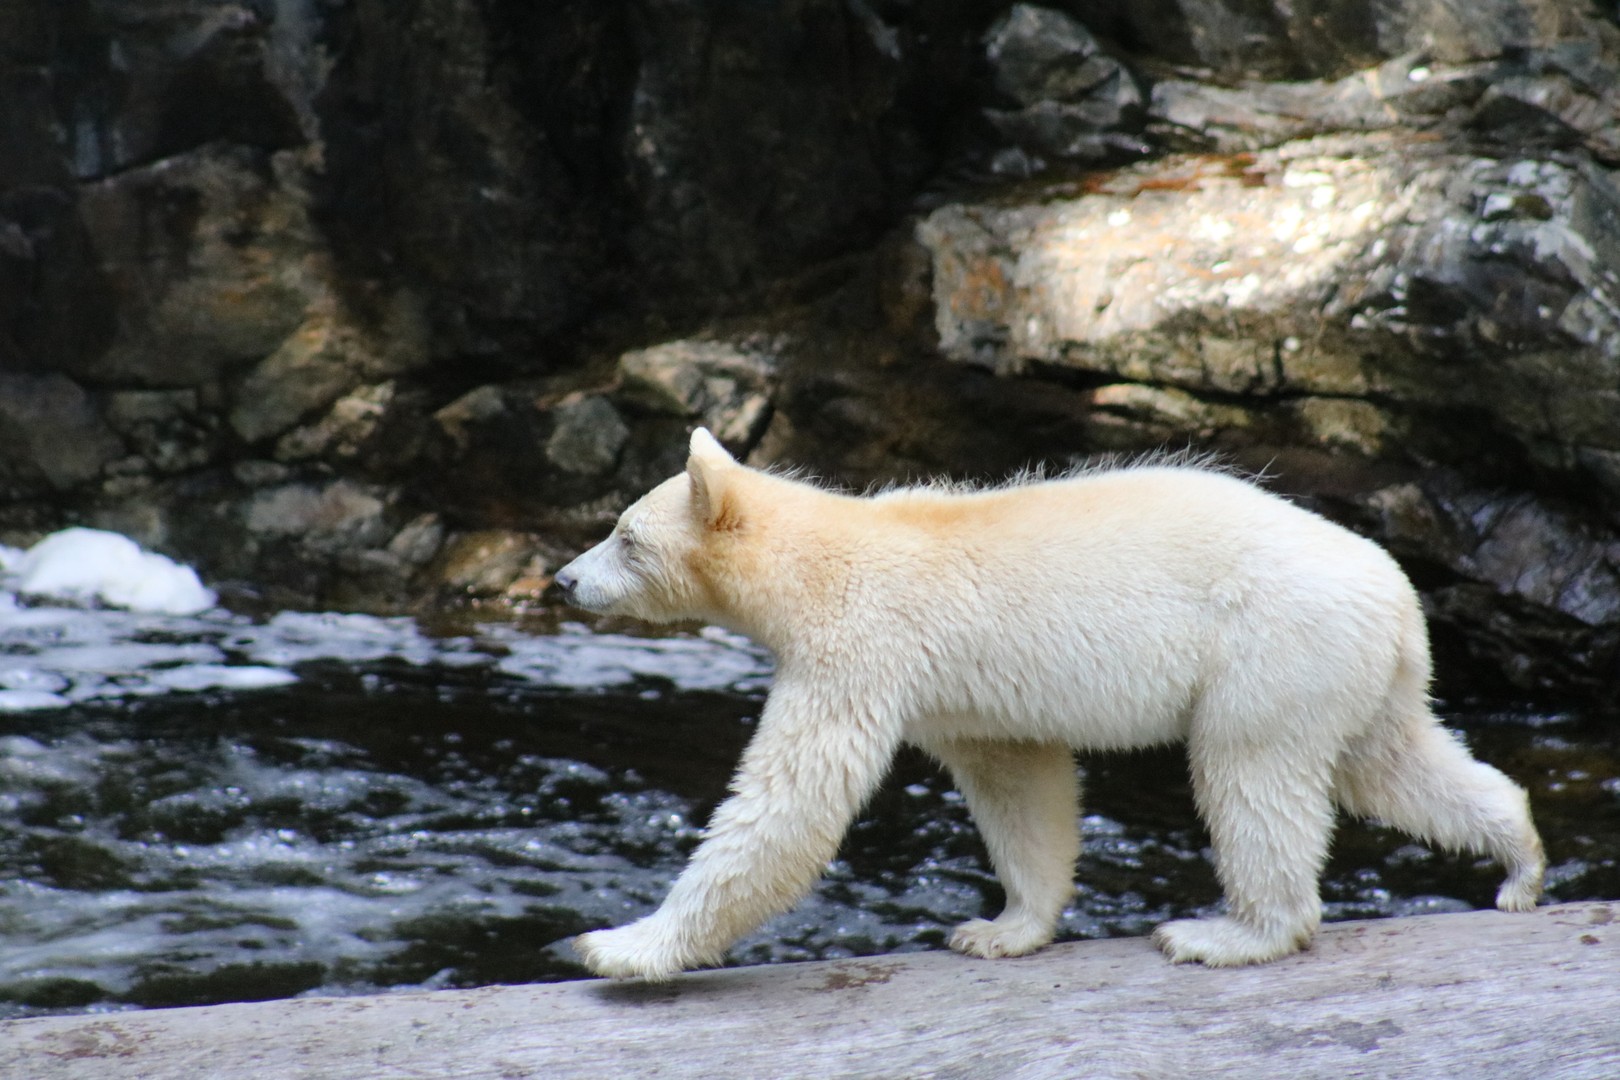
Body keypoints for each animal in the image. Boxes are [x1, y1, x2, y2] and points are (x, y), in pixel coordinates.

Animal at [555, 428, 1544, 980]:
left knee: (1251, 774)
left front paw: (623, 947)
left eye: (625, 536)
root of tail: (1395, 591)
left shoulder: (861, 645)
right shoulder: (957, 689)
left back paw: (1228, 935)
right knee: (1393, 765)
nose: (564, 579)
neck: (820, 551)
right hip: (1355, 670)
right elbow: (1017, 781)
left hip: (1268, 650)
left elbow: (790, 803)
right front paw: (999, 929)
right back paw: (1520, 864)